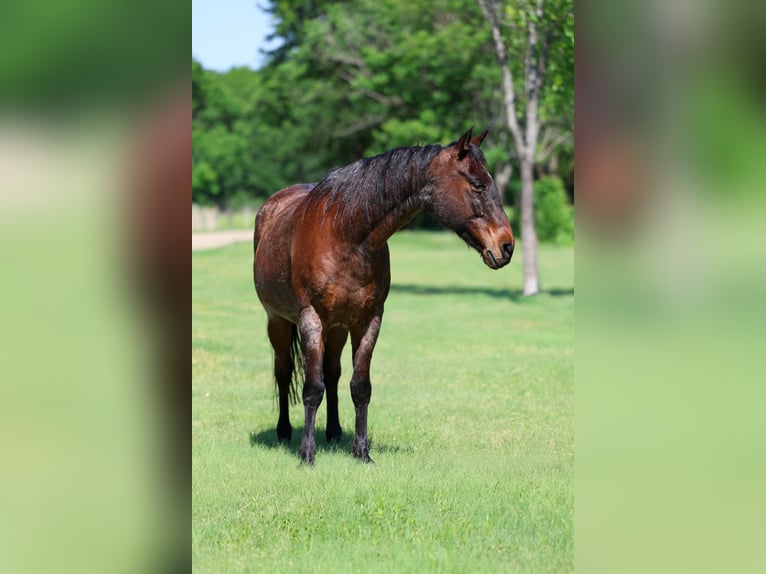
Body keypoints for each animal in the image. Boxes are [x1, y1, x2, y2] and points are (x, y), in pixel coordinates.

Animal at [253, 128, 514, 465]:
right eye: (477, 184)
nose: (507, 246)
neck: (347, 236)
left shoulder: (368, 321)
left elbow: (359, 386)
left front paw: (362, 452)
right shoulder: (311, 320)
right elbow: (312, 388)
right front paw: (307, 455)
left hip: (337, 329)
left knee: (333, 374)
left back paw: (334, 431)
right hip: (278, 321)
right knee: (284, 372)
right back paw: (284, 431)